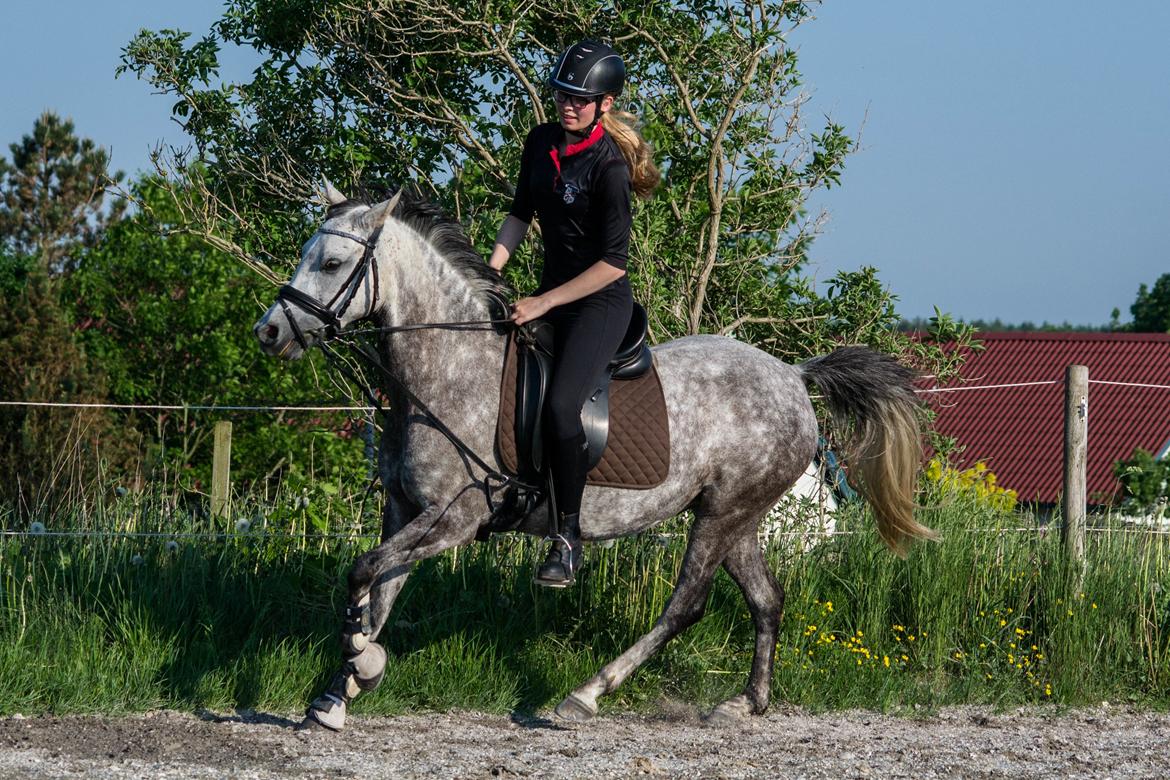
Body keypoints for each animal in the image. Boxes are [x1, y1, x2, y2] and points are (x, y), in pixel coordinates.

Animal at [251, 184, 935, 734]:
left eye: (332, 262)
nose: (270, 333)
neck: (445, 372)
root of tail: (794, 377)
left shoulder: (456, 517)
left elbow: (363, 573)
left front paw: (359, 664)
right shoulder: (403, 511)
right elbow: (378, 590)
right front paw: (338, 694)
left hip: (721, 515)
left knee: (686, 605)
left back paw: (586, 694)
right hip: (735, 515)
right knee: (766, 600)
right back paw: (745, 704)